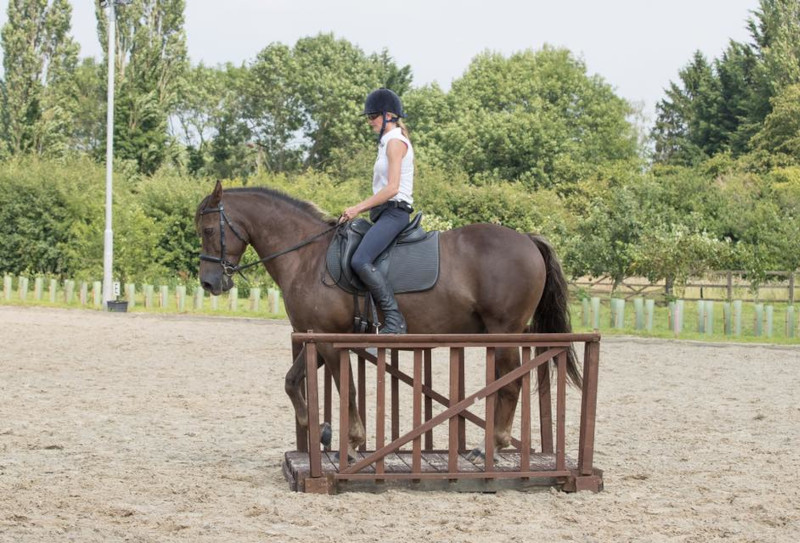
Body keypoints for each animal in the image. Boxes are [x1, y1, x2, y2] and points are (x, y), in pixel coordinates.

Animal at [195, 181, 581, 458]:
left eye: (209, 230)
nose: (209, 283)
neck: (306, 256)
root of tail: (527, 240)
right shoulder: (315, 336)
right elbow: (292, 381)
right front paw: (319, 429)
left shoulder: (331, 338)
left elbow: (348, 389)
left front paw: (351, 440)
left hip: (505, 331)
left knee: (511, 385)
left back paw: (492, 446)